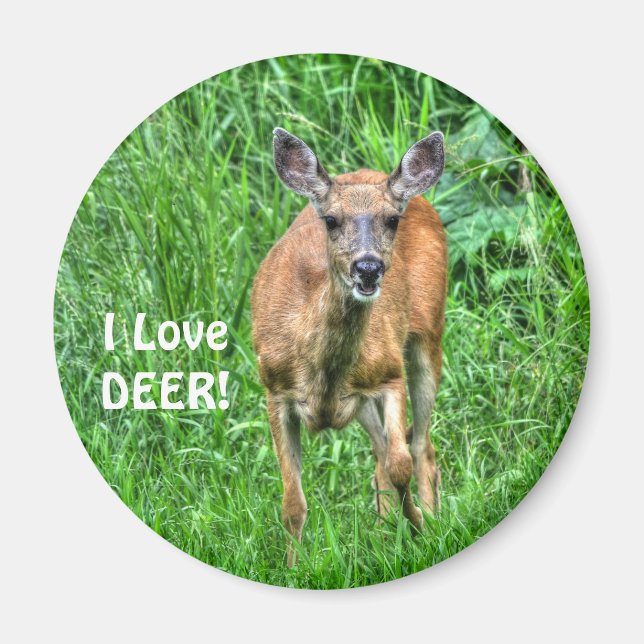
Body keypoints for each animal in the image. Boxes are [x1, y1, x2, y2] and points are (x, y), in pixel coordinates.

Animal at [251, 127, 447, 566]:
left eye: (392, 219)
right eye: (331, 220)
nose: (368, 267)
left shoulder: (390, 372)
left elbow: (401, 463)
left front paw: (420, 531)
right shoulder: (274, 390)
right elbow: (292, 500)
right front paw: (293, 568)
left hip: (429, 330)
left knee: (420, 446)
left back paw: (427, 521)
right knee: (379, 452)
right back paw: (384, 529)